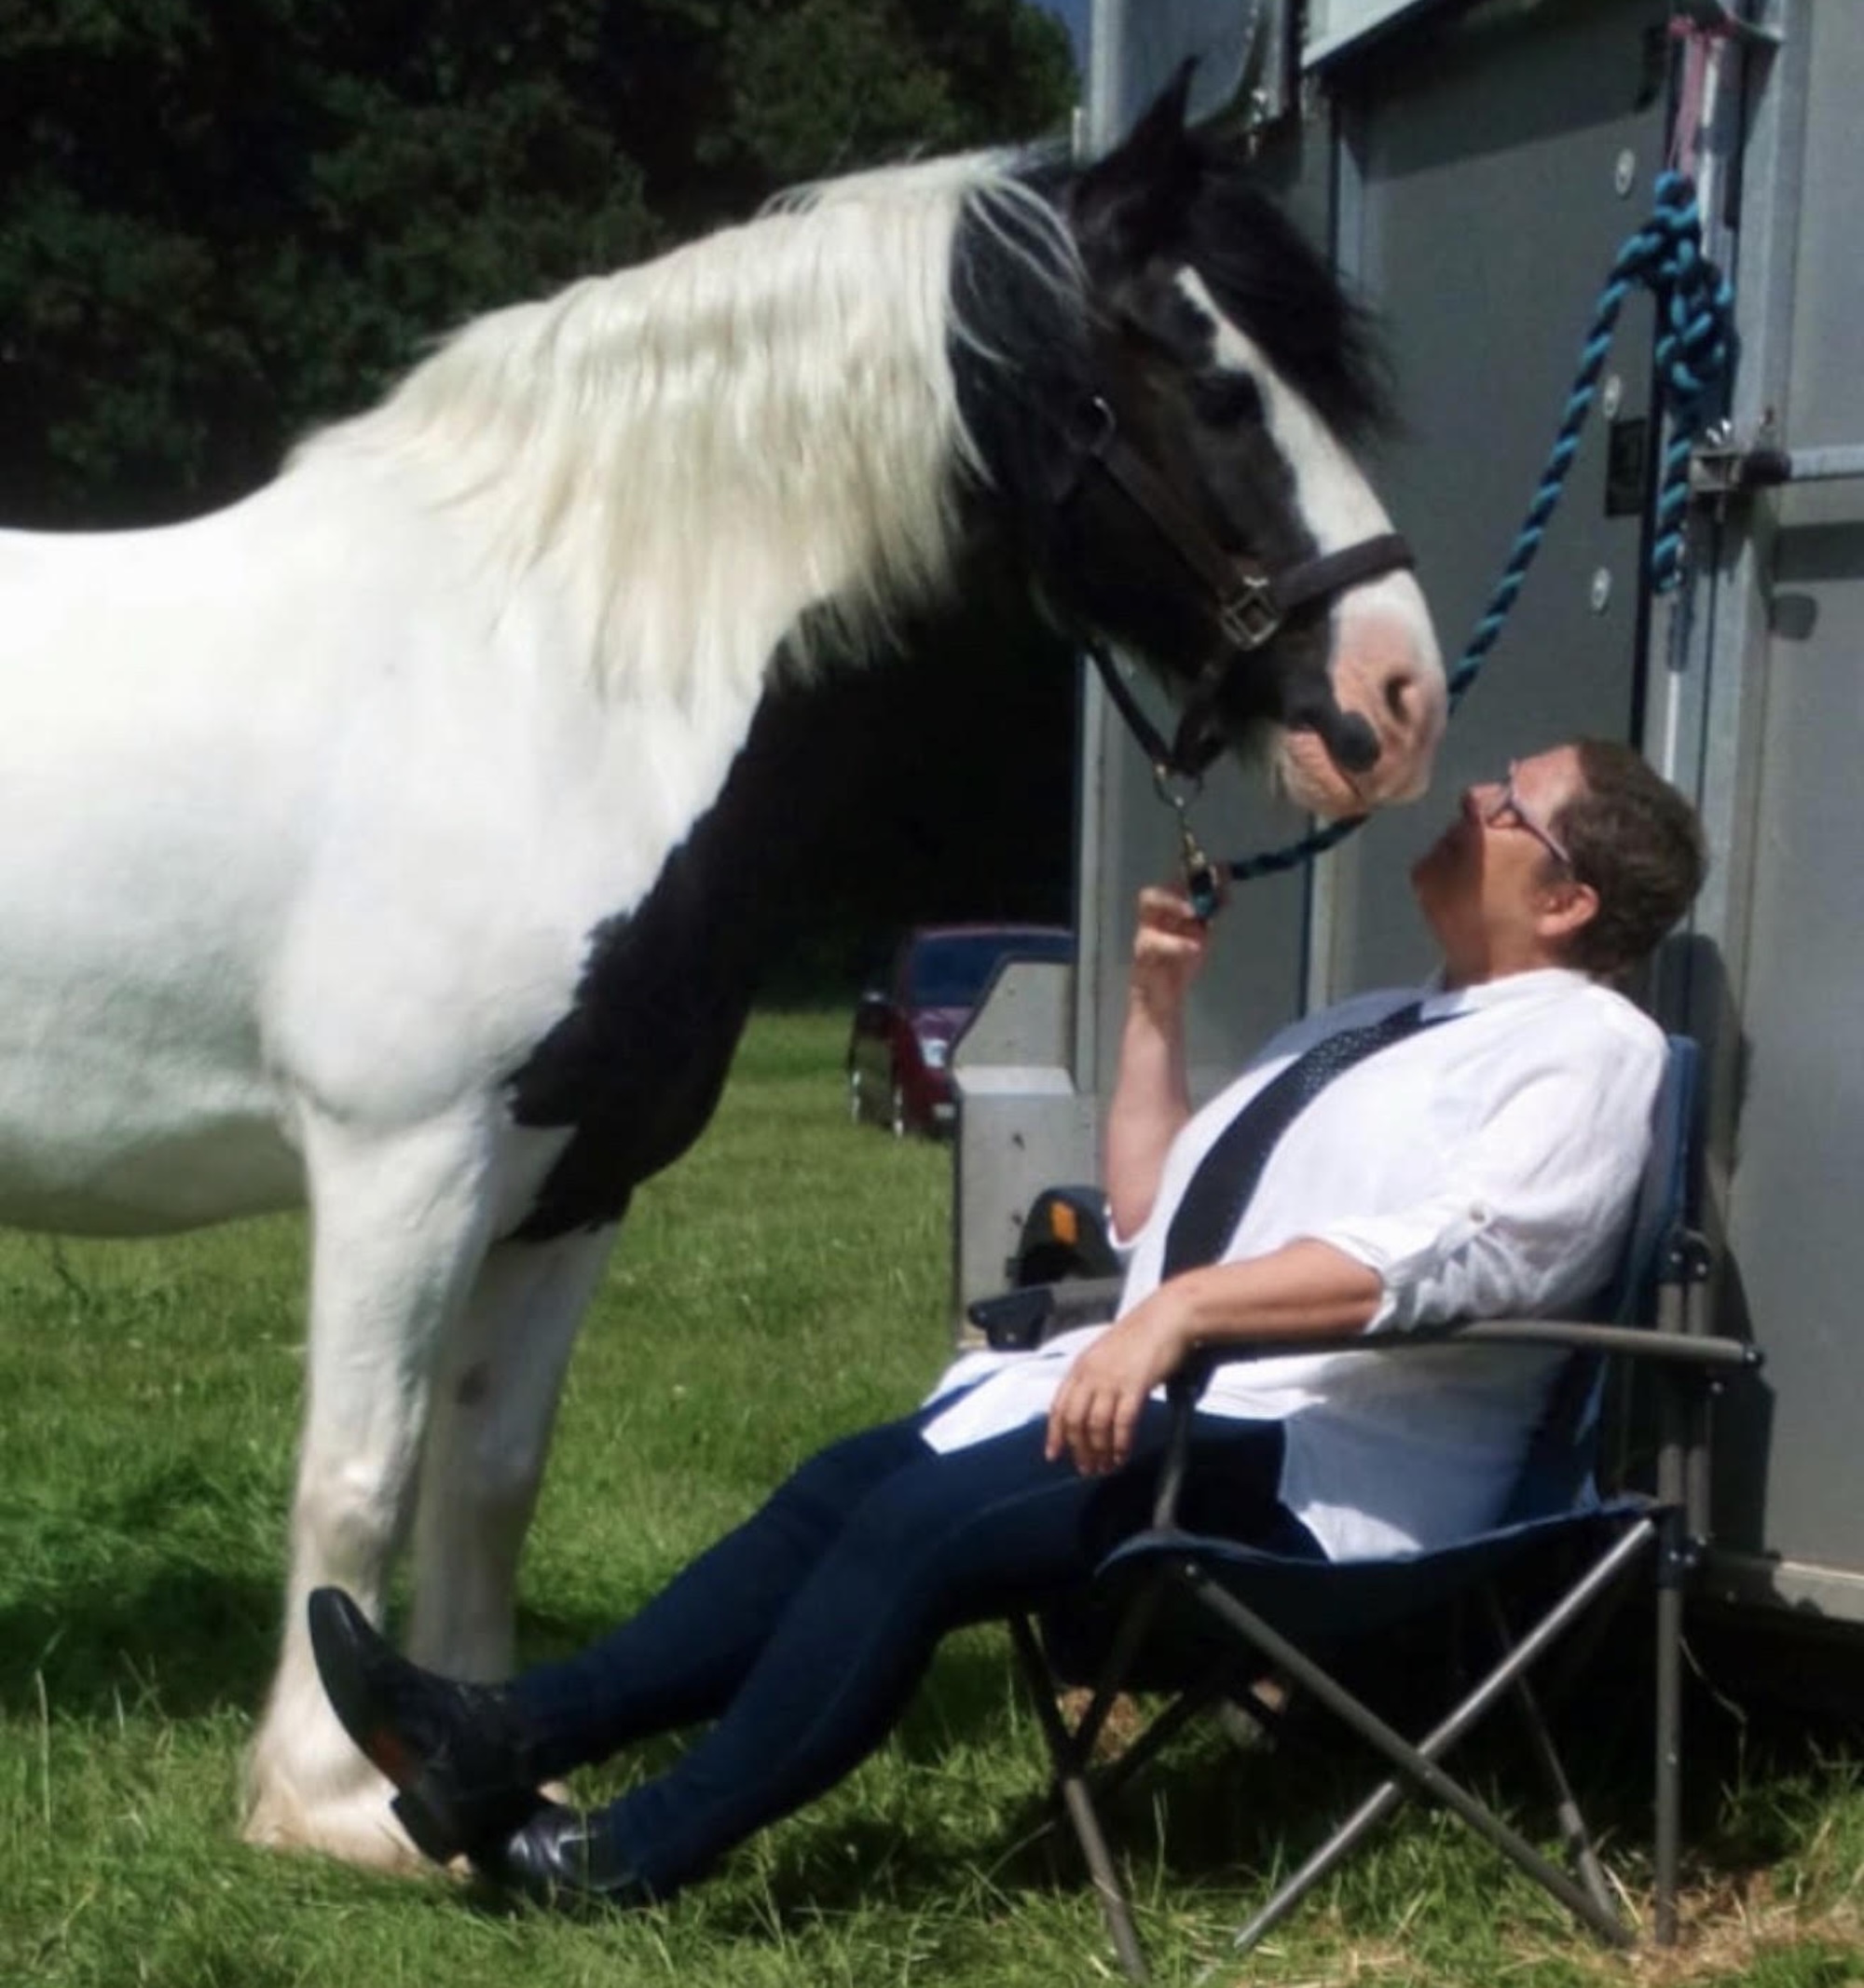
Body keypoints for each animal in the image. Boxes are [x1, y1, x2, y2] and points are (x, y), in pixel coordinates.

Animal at [0, 71, 1445, 1866]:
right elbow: (360, 1467)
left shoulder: (570, 1179)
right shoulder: (407, 1158)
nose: (1397, 698)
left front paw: (472, 1757)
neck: (550, 678)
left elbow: (487, 1475)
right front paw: (332, 1802)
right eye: (1217, 381)